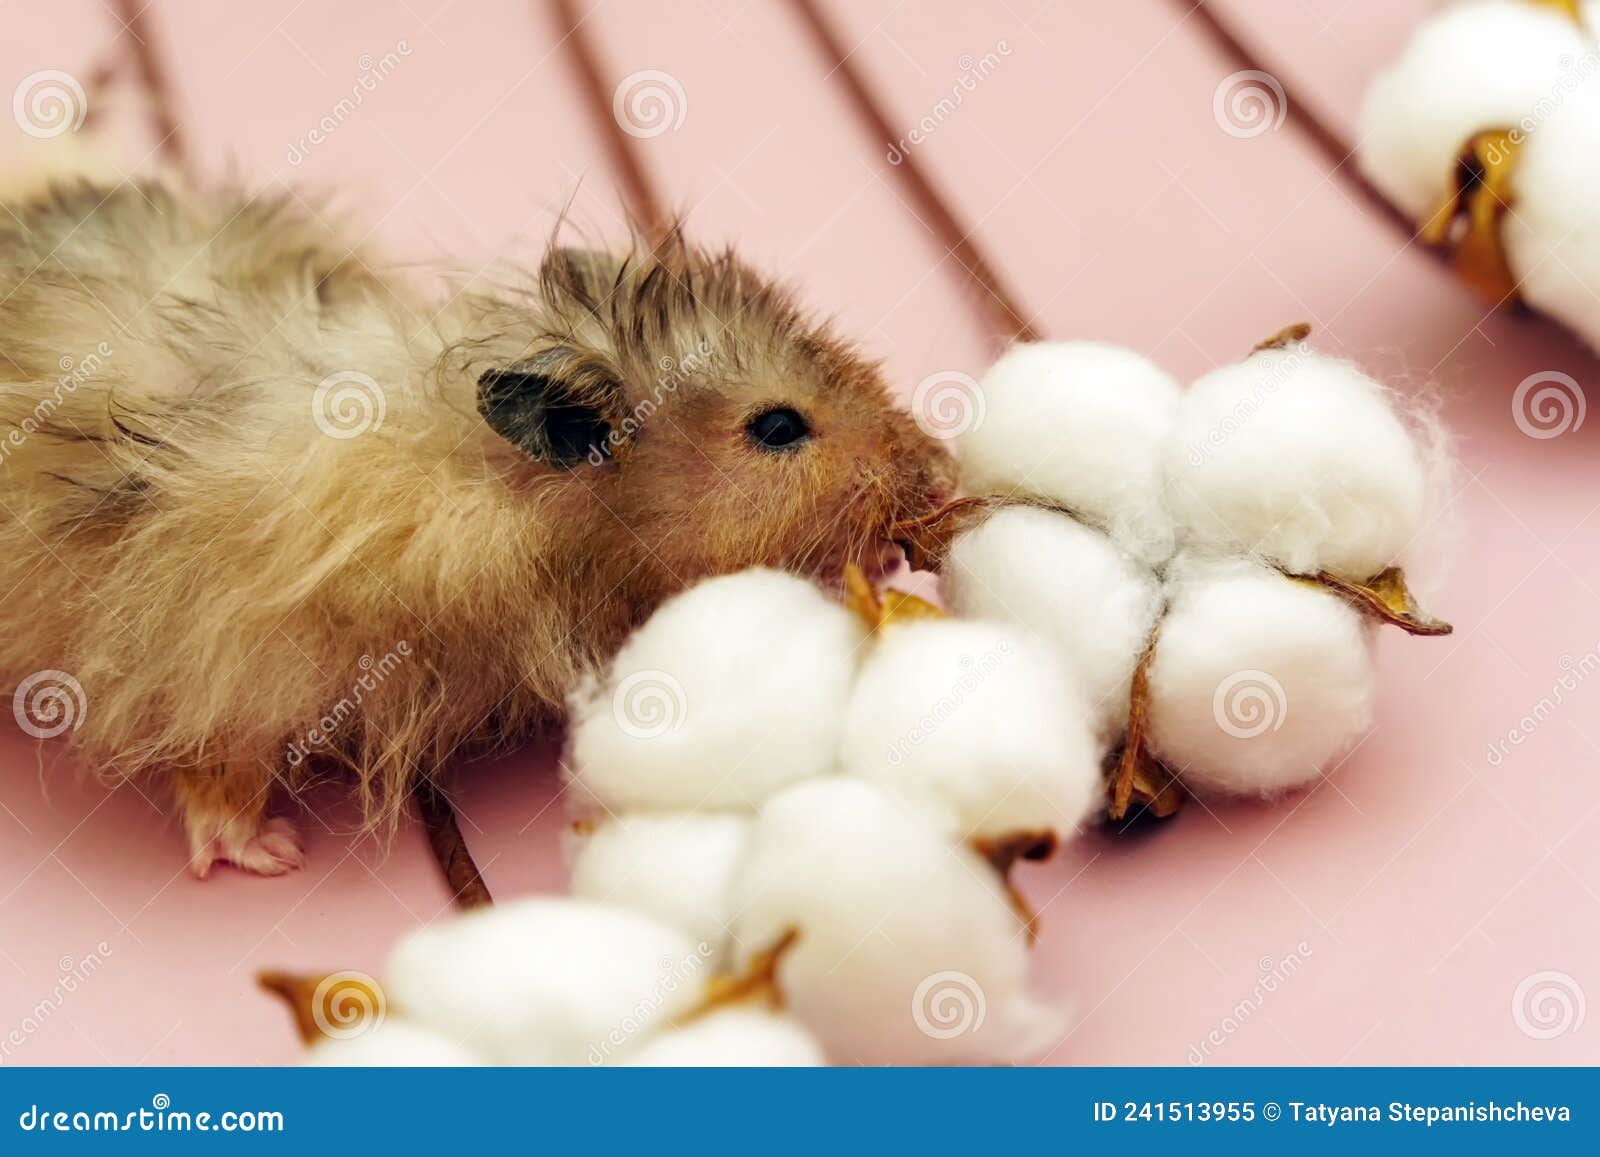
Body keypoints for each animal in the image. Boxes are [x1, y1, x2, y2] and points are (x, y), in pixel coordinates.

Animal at [0, 176, 947, 870]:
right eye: (779, 427)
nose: (932, 466)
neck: (526, 514)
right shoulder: (215, 652)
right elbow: (216, 767)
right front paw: (267, 850)